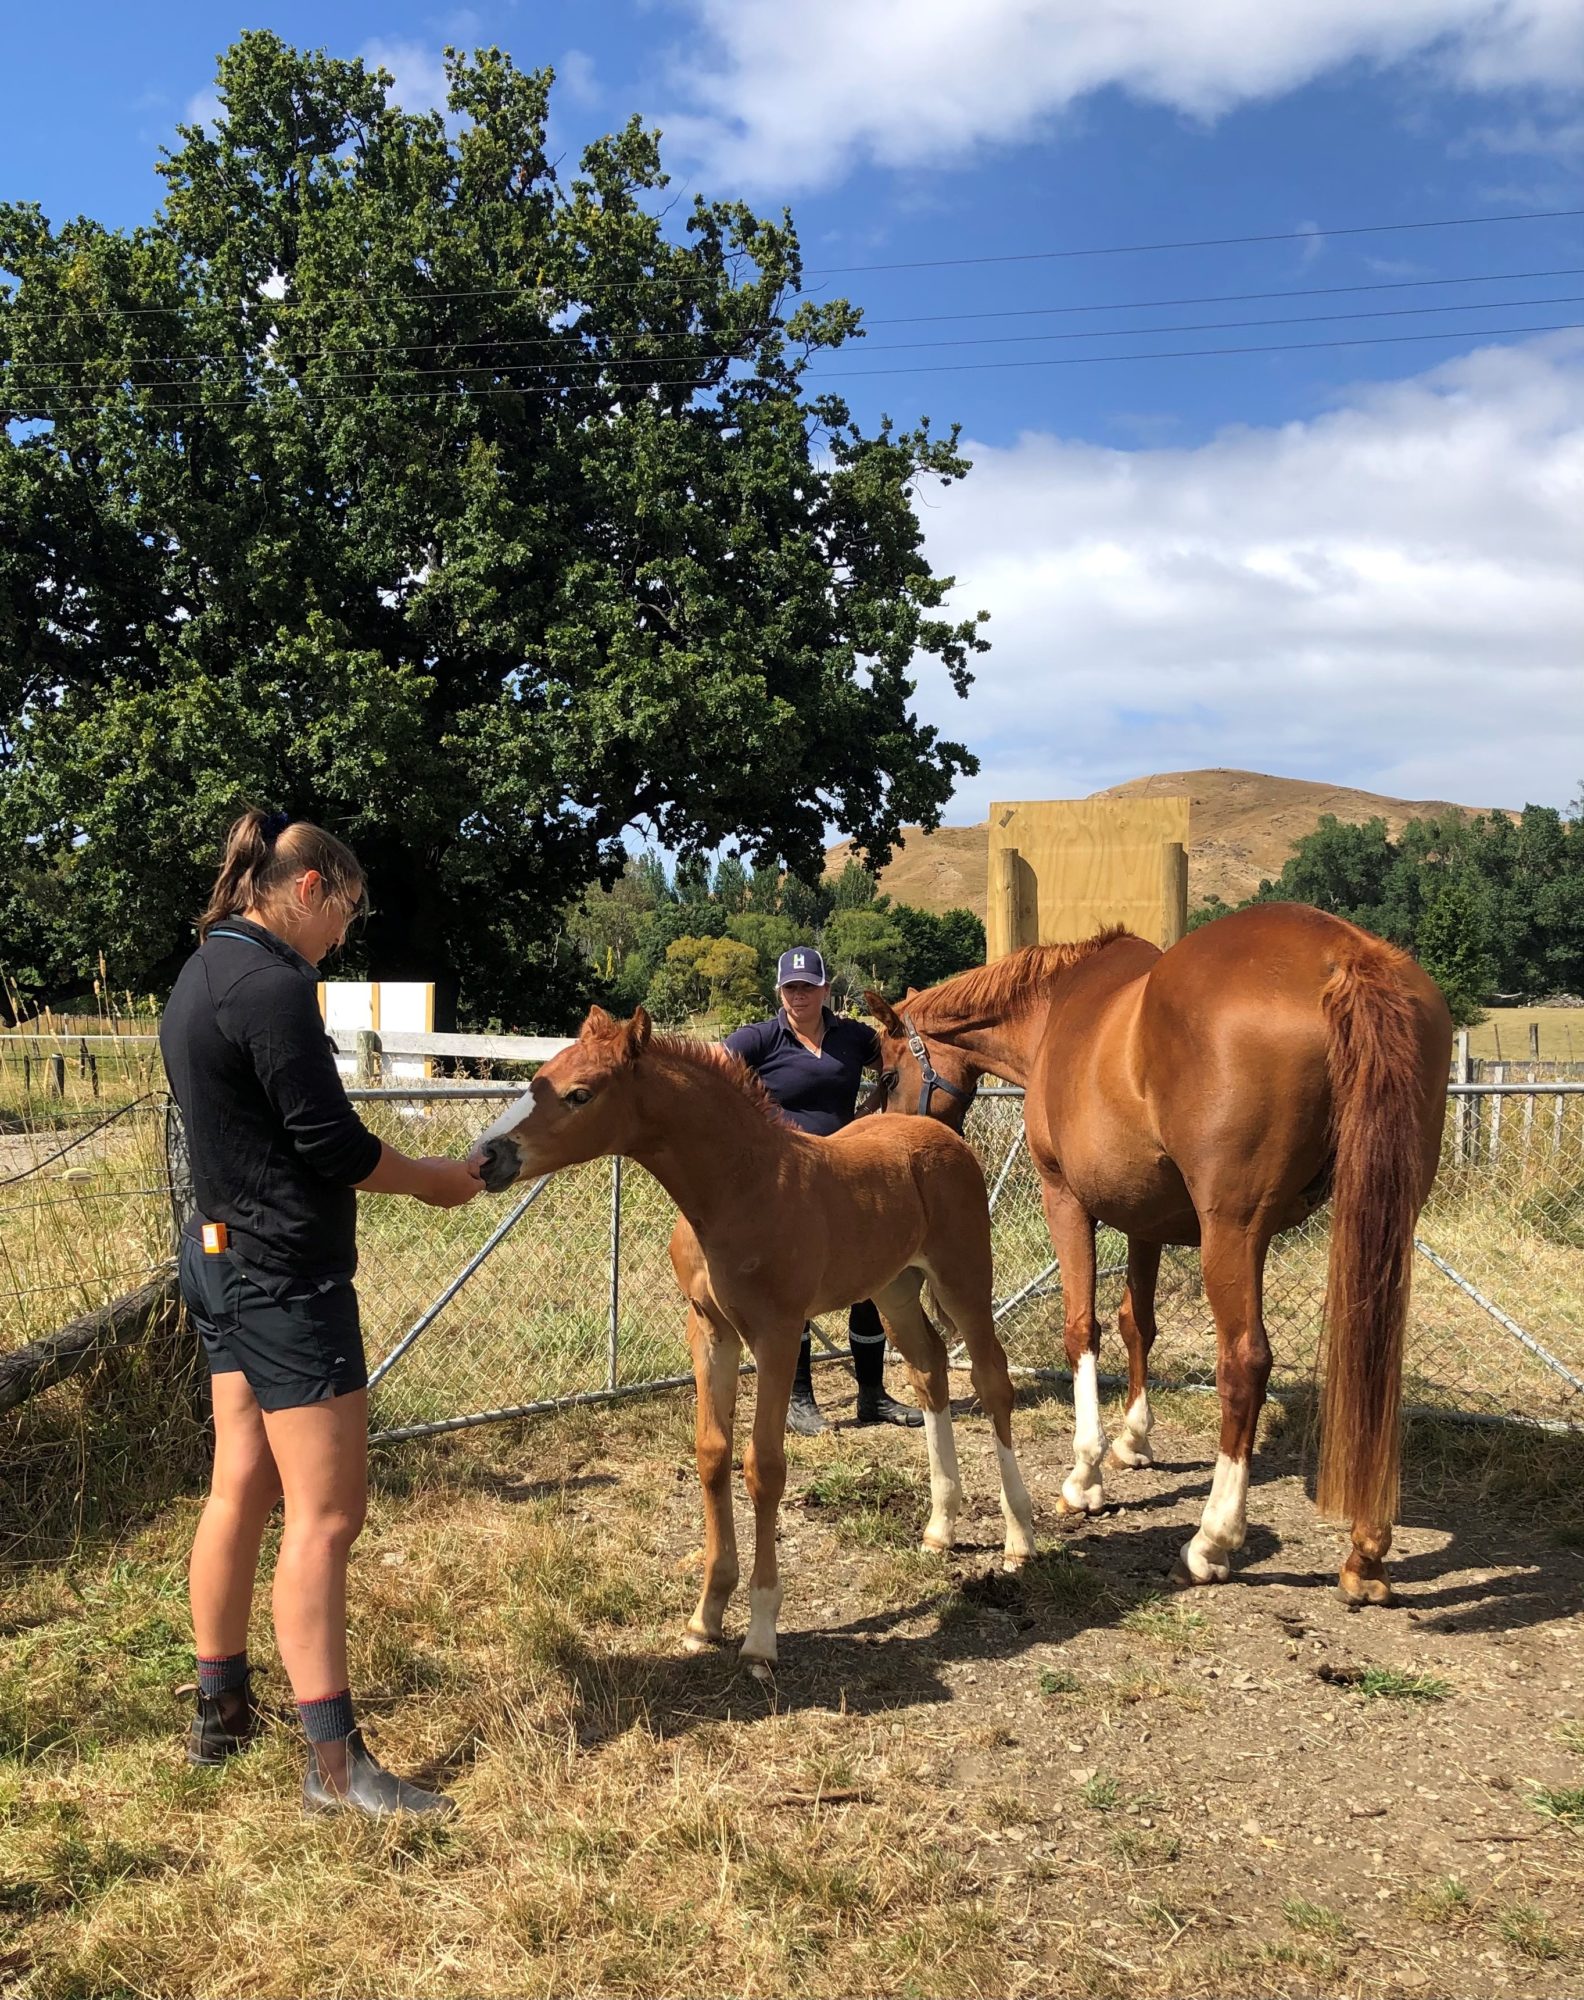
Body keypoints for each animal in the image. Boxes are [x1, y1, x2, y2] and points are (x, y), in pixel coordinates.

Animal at [469, 1005, 1036, 1677]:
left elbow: (763, 1465)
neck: (740, 1188)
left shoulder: (778, 1332)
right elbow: (712, 1454)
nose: (484, 1157)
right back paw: (940, 1528)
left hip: (963, 1281)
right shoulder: (710, 1330)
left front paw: (761, 1634)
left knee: (992, 1381)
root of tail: (939, 1135)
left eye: (580, 1093)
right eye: (540, 1076)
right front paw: (705, 1616)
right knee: (929, 1371)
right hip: (895, 1289)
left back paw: (1020, 1538)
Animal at [864, 902, 1452, 1606]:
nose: (899, 1139)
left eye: (887, 1071)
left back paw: (1210, 1543)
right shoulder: (1143, 1218)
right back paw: (1366, 1552)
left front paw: (1085, 1476)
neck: (1055, 1010)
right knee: (1373, 1364)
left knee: (1245, 1363)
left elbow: (1082, 1328)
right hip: (1384, 1219)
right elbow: (1135, 1323)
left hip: (1235, 1230)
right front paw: (1134, 1442)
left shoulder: (1065, 1197)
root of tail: (1346, 956)